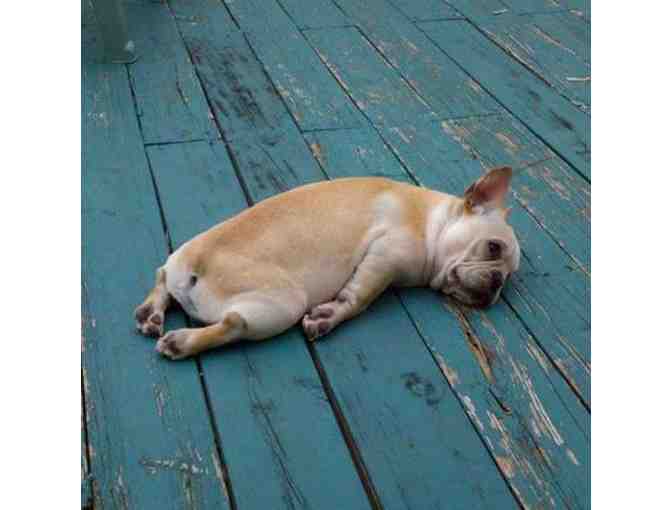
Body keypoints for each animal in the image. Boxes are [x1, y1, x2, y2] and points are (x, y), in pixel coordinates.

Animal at [134, 167, 520, 360]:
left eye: (510, 276)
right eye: (493, 248)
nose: (497, 284)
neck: (432, 221)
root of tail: (195, 266)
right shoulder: (384, 259)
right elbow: (357, 299)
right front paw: (330, 317)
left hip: (180, 256)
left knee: (162, 275)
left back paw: (151, 313)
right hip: (284, 303)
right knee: (233, 324)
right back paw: (182, 342)